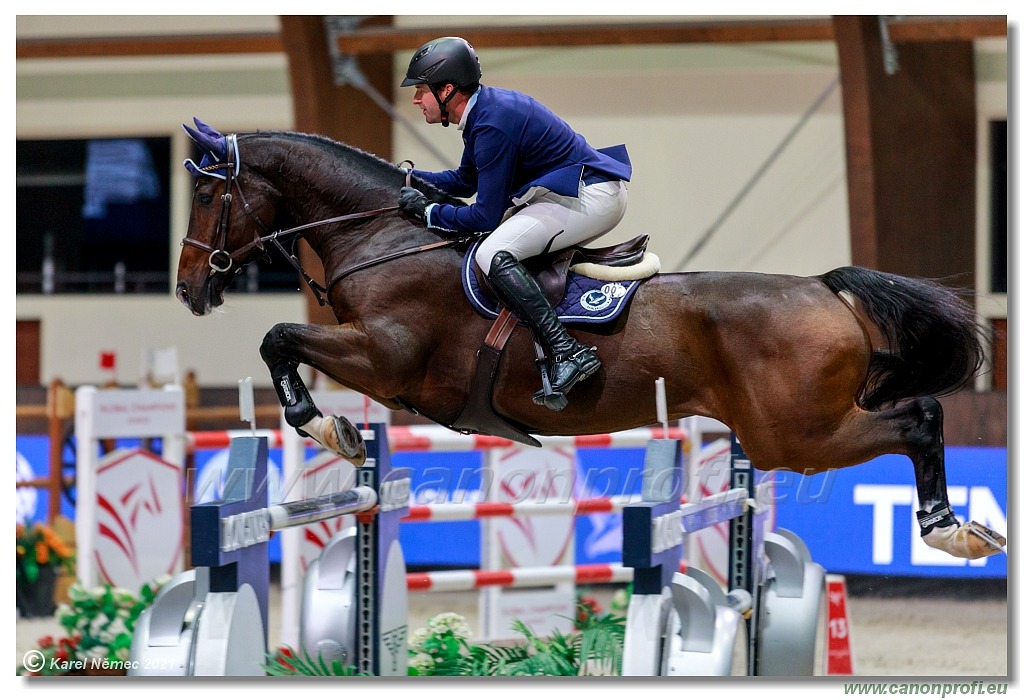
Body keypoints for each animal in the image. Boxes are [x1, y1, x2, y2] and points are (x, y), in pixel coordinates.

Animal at [174, 117, 999, 560]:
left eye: (209, 192)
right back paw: (957, 529)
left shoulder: (385, 359)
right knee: (917, 417)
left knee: (919, 418)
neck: (383, 237)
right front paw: (335, 431)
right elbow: (281, 342)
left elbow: (279, 339)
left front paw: (332, 430)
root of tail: (825, 288)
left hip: (793, 435)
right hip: (793, 431)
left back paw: (947, 529)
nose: (187, 288)